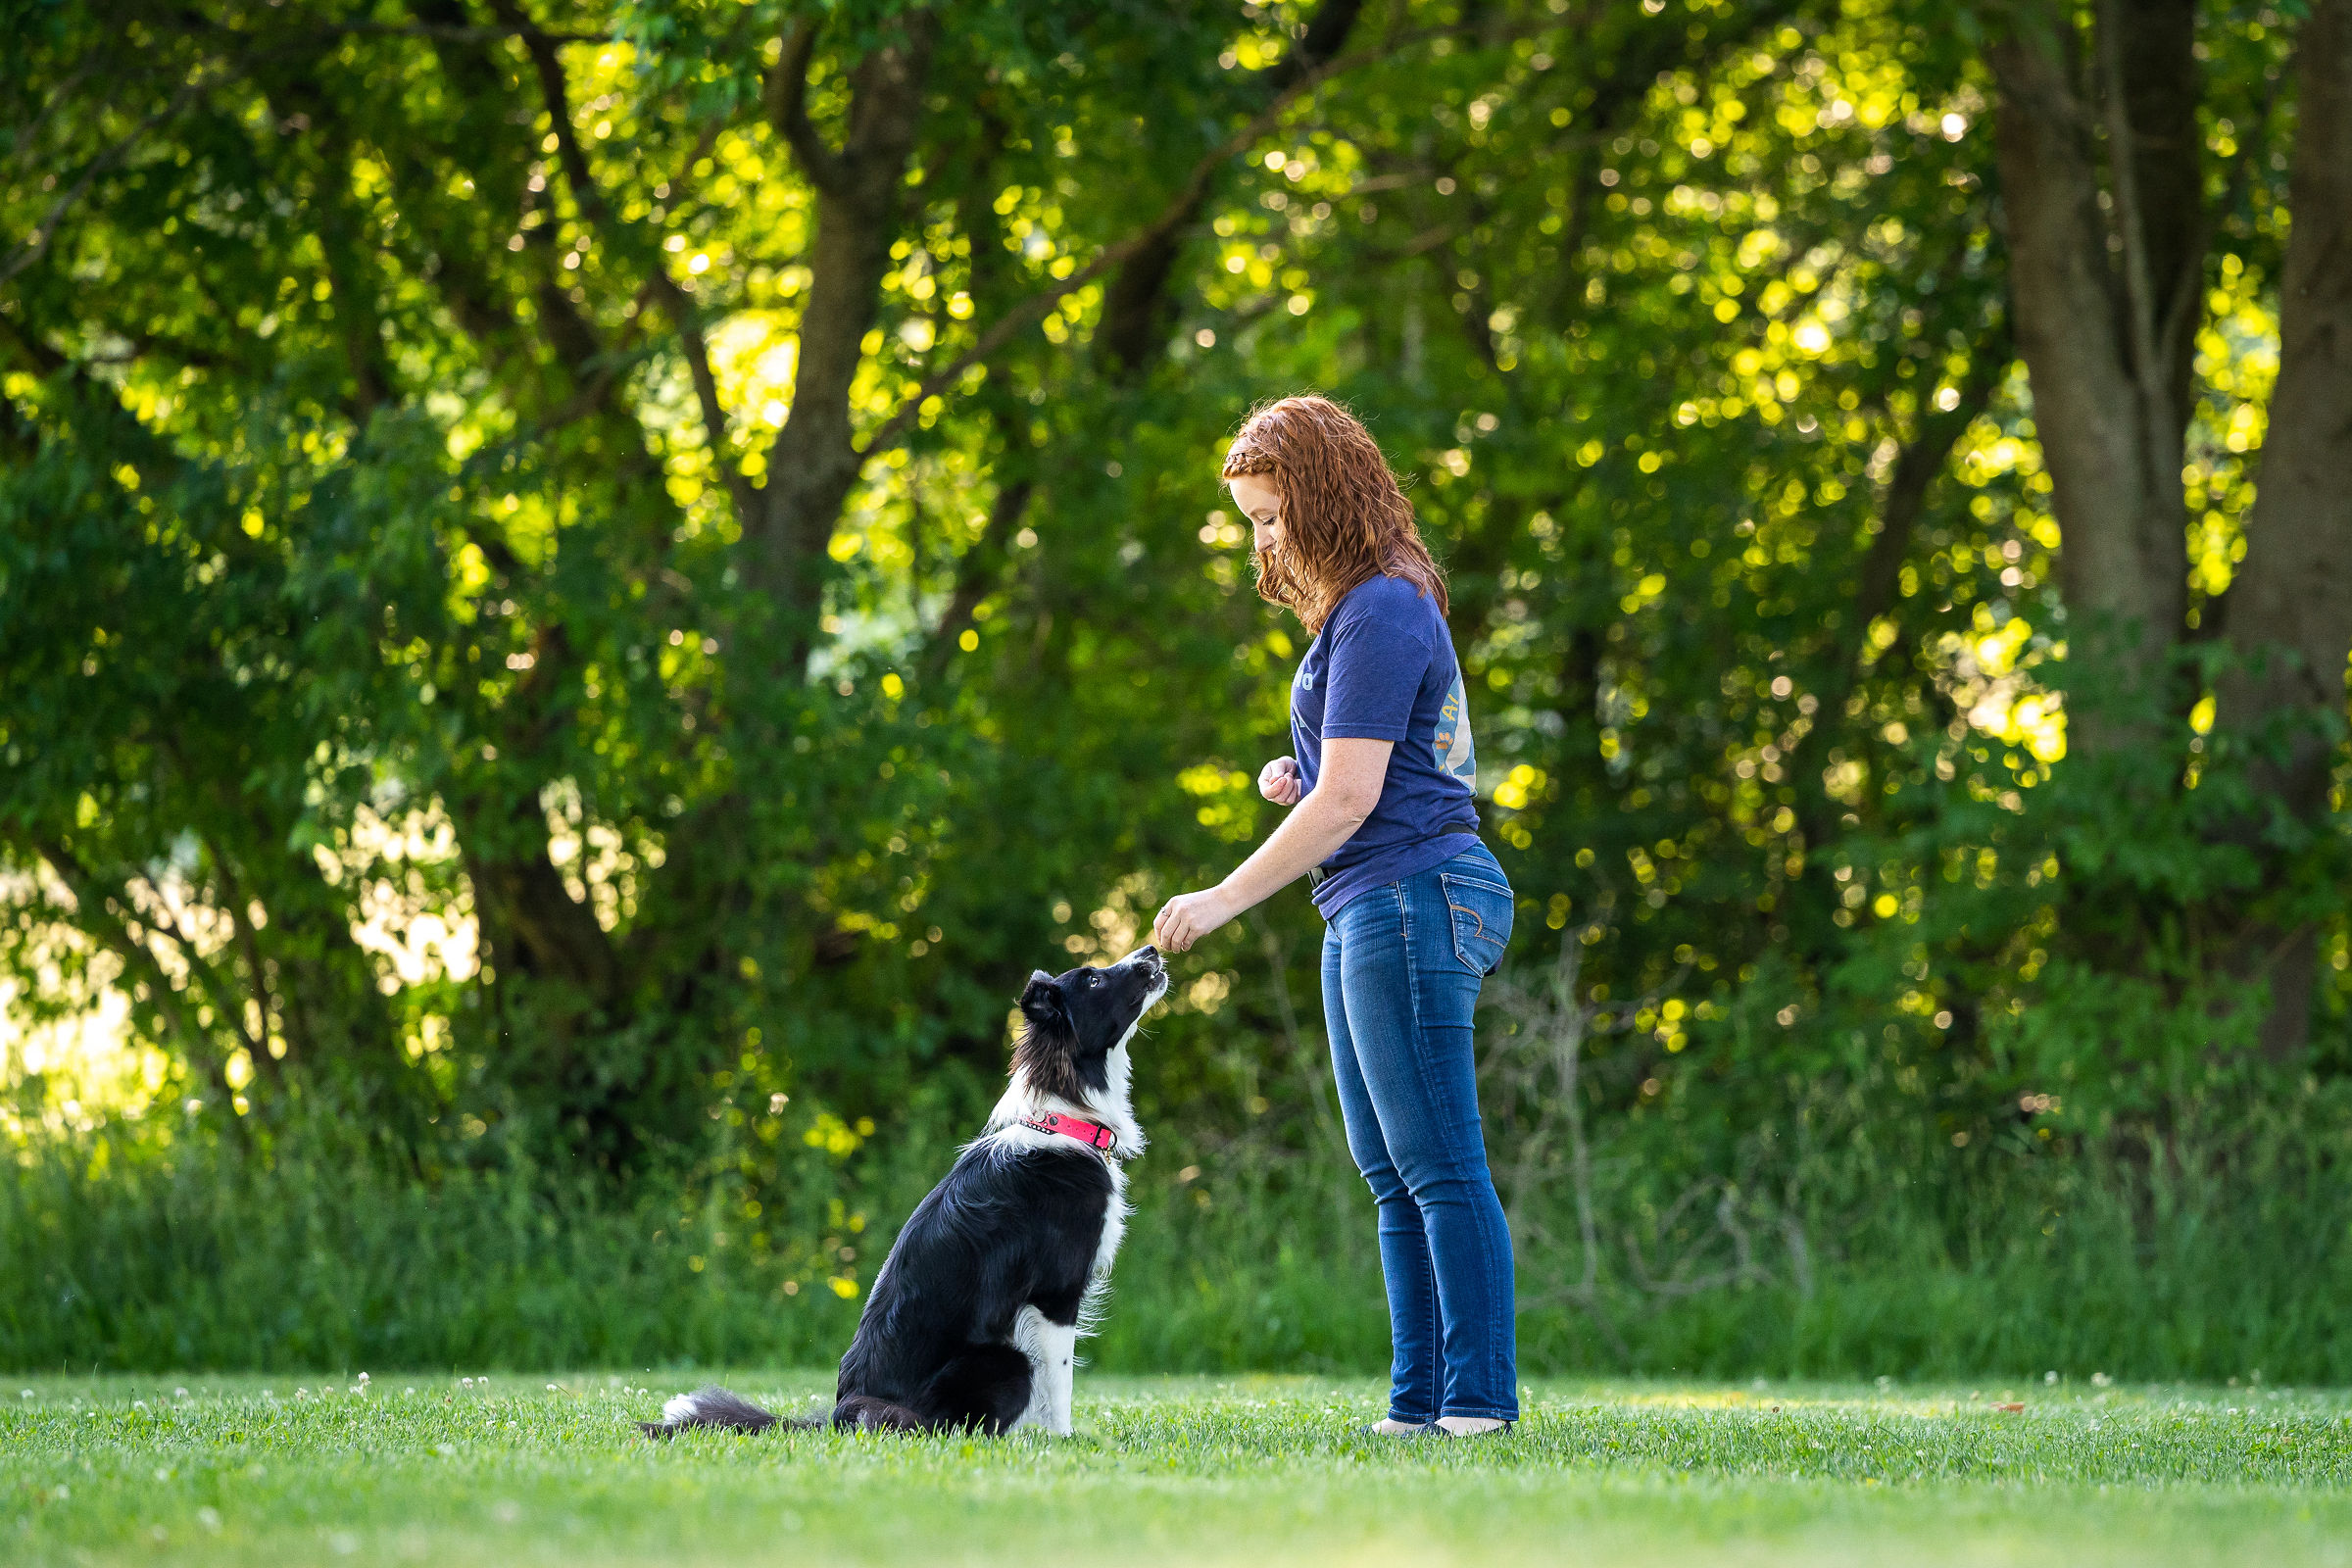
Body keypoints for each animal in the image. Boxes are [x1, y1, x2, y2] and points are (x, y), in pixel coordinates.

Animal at [644, 940, 1166, 1439]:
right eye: (1094, 980)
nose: (1153, 950)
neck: (1064, 1119)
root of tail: (839, 1415)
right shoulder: (1054, 1292)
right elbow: (1060, 1385)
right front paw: (1064, 1440)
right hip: (1006, 1360)